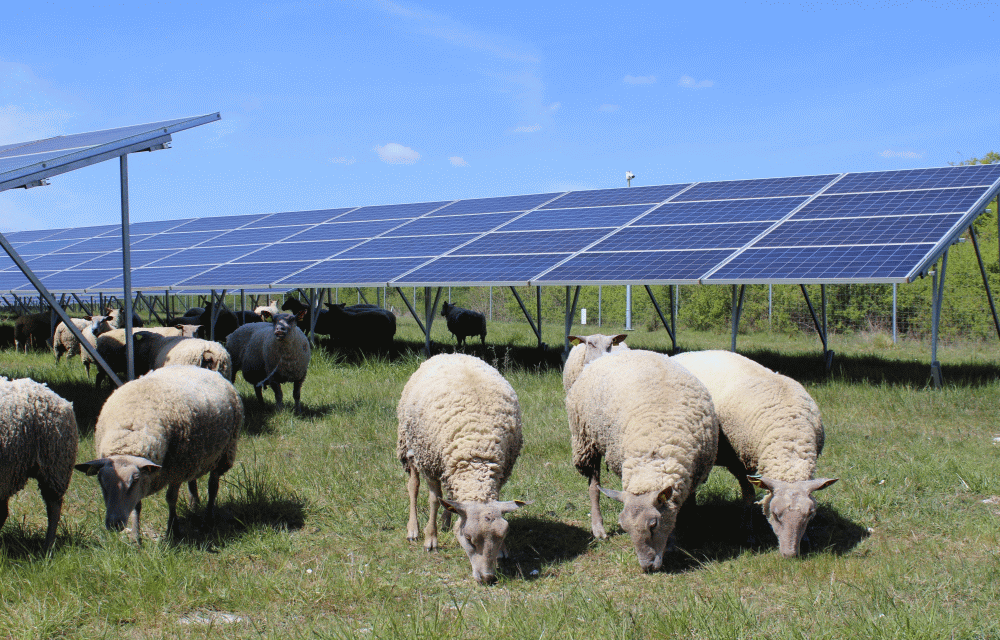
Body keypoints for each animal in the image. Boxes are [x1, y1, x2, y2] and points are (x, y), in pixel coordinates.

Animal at [74, 364, 242, 540]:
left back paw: (207, 520)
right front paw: (135, 537)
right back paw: (194, 505)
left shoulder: (176, 470)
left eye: (134, 480)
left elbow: (171, 499)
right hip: (196, 455)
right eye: (101, 481)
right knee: (193, 480)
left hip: (224, 453)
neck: (130, 433)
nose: (114, 524)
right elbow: (137, 506)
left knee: (213, 486)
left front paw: (172, 530)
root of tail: (203, 369)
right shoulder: (151, 475)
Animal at [394, 356, 528, 584]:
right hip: (410, 445)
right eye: (468, 539)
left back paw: (447, 519)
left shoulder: (499, 471)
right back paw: (413, 529)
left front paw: (503, 551)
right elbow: (433, 500)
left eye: (503, 536)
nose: (488, 578)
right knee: (413, 486)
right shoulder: (430, 464)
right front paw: (431, 539)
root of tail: (450, 353)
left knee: (449, 496)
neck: (477, 455)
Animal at [564, 350, 720, 576]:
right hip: (586, 440)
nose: (647, 567)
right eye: (624, 527)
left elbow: (679, 507)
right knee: (594, 488)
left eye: (653, 525)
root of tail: (609, 354)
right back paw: (598, 528)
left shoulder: (694, 474)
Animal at [668, 350, 840, 556]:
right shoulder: (739, 461)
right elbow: (749, 495)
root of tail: (684, 353)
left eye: (810, 514)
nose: (790, 554)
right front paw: (747, 533)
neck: (789, 437)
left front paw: (806, 538)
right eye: (775, 514)